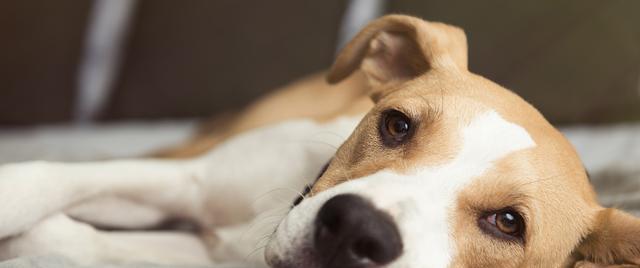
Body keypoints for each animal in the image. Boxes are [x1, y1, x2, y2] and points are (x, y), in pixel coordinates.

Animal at [1, 14, 640, 268]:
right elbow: (45, 178)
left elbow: (85, 239)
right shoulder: (189, 179)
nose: (358, 230)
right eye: (397, 124)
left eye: (509, 223)